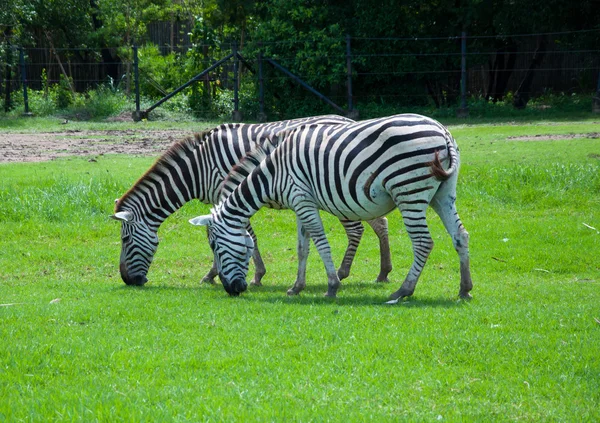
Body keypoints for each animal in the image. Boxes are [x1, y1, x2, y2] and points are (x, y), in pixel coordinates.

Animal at [111, 116, 394, 288]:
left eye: (124, 239)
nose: (128, 280)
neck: (196, 168)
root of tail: (349, 120)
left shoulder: (224, 193)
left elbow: (237, 235)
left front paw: (243, 274)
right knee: (380, 223)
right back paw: (383, 272)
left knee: (357, 229)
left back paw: (344, 272)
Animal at [190, 113, 472, 302]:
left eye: (214, 246)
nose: (233, 290)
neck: (274, 172)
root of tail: (442, 130)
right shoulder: (300, 202)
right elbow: (303, 247)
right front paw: (296, 287)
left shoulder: (302, 201)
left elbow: (320, 243)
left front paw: (332, 286)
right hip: (443, 194)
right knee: (460, 235)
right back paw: (465, 289)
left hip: (408, 191)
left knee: (423, 242)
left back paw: (402, 291)